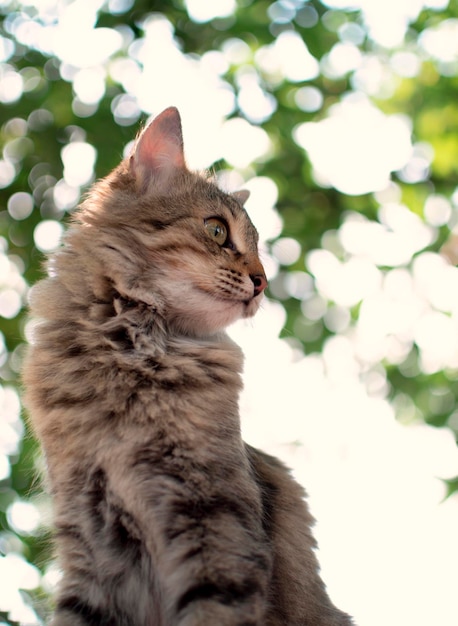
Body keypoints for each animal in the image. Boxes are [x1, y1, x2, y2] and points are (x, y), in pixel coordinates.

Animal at [22, 107, 354, 624]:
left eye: (258, 247)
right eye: (217, 230)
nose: (262, 283)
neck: (130, 353)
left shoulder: (216, 523)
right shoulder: (88, 534)